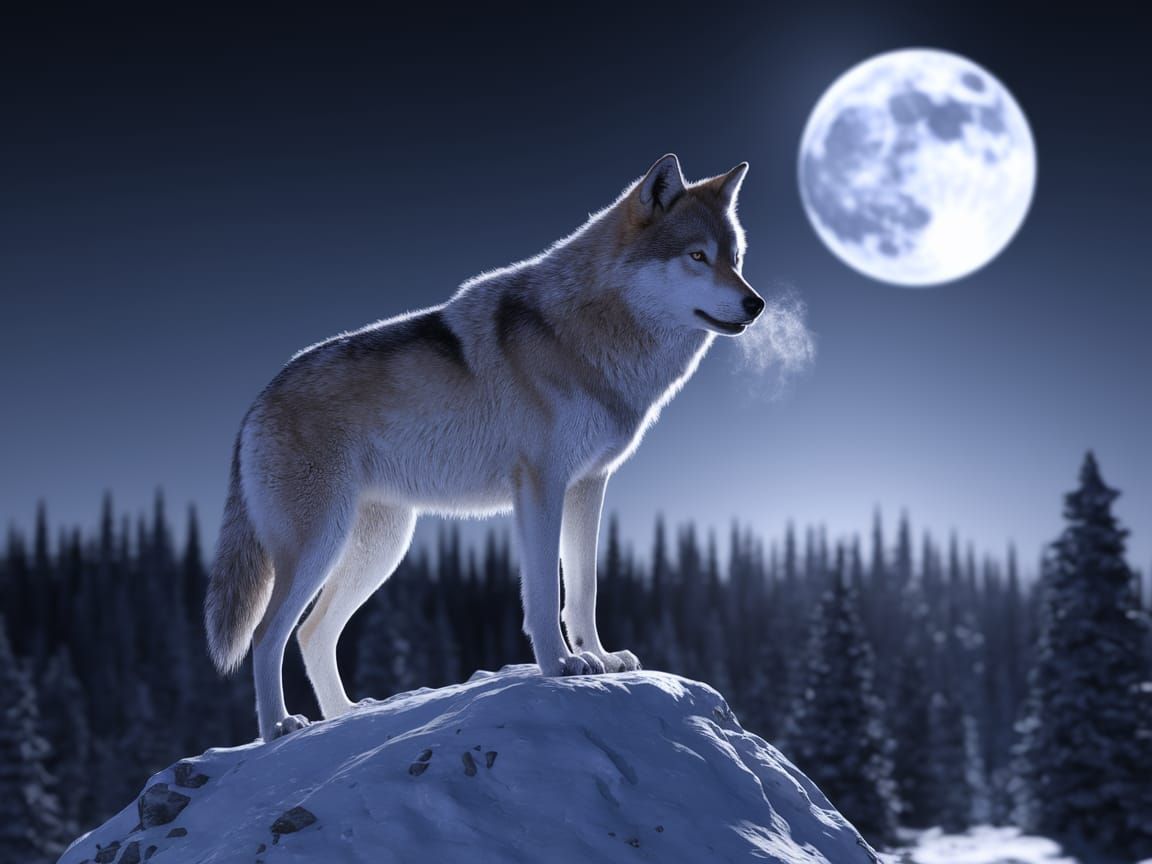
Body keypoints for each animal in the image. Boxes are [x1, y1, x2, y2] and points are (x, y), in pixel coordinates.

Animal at [205, 154, 765, 741]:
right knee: (267, 634)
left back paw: (346, 718)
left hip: (380, 549)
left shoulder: (588, 485)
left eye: (735, 259)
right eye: (697, 256)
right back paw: (278, 727)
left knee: (312, 633)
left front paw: (601, 659)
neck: (586, 333)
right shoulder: (541, 486)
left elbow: (583, 589)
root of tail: (257, 404)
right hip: (320, 545)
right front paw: (559, 665)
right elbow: (543, 594)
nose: (757, 304)